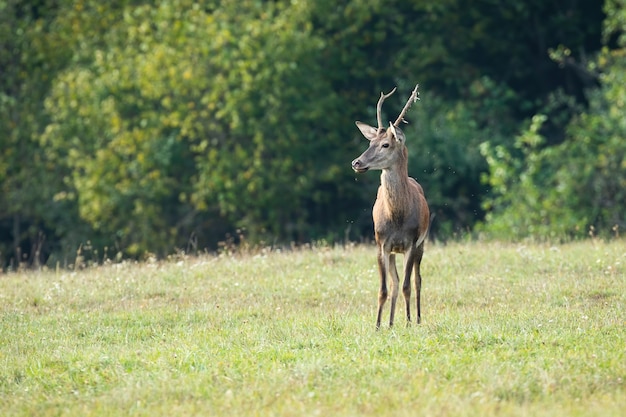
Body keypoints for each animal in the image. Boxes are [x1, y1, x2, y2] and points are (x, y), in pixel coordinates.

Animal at [348, 84, 426, 330]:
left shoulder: (411, 242)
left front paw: (409, 321)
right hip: (392, 251)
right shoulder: (381, 243)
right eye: (369, 143)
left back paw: (417, 318)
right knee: (394, 282)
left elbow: (408, 285)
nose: (356, 162)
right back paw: (391, 322)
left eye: (385, 144)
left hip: (422, 244)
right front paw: (378, 325)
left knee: (417, 280)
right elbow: (383, 288)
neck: (398, 218)